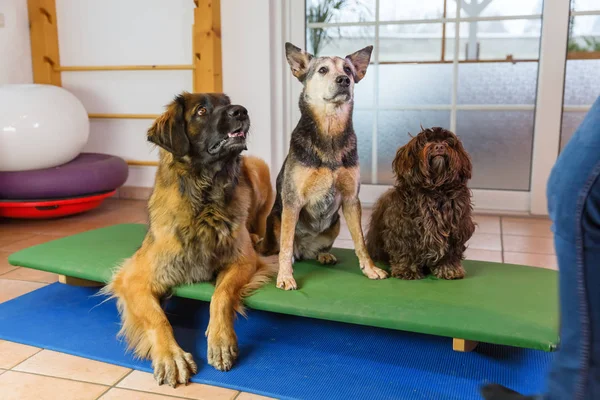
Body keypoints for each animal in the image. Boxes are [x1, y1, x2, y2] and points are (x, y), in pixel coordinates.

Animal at [258, 42, 390, 290]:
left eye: (348, 70)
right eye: (322, 70)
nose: (344, 80)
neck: (330, 131)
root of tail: (304, 250)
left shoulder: (351, 200)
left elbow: (360, 241)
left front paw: (370, 268)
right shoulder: (292, 201)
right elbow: (286, 245)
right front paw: (285, 276)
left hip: (335, 223)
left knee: (317, 249)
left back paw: (323, 254)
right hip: (275, 219)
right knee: (283, 248)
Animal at [364, 126, 476, 280]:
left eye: (447, 142)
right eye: (426, 142)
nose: (439, 146)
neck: (435, 190)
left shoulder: (457, 229)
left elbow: (450, 253)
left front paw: (449, 269)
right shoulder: (403, 228)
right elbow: (405, 250)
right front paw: (406, 270)